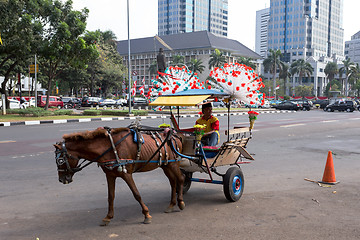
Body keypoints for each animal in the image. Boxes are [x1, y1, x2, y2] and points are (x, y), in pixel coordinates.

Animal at [54, 126, 184, 226]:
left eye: (60, 160)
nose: (61, 179)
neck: (110, 147)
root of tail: (175, 135)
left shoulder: (127, 174)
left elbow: (136, 194)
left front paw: (146, 214)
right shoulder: (110, 175)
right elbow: (110, 196)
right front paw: (108, 217)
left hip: (174, 163)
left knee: (180, 179)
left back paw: (181, 202)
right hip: (166, 165)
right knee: (173, 182)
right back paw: (172, 204)